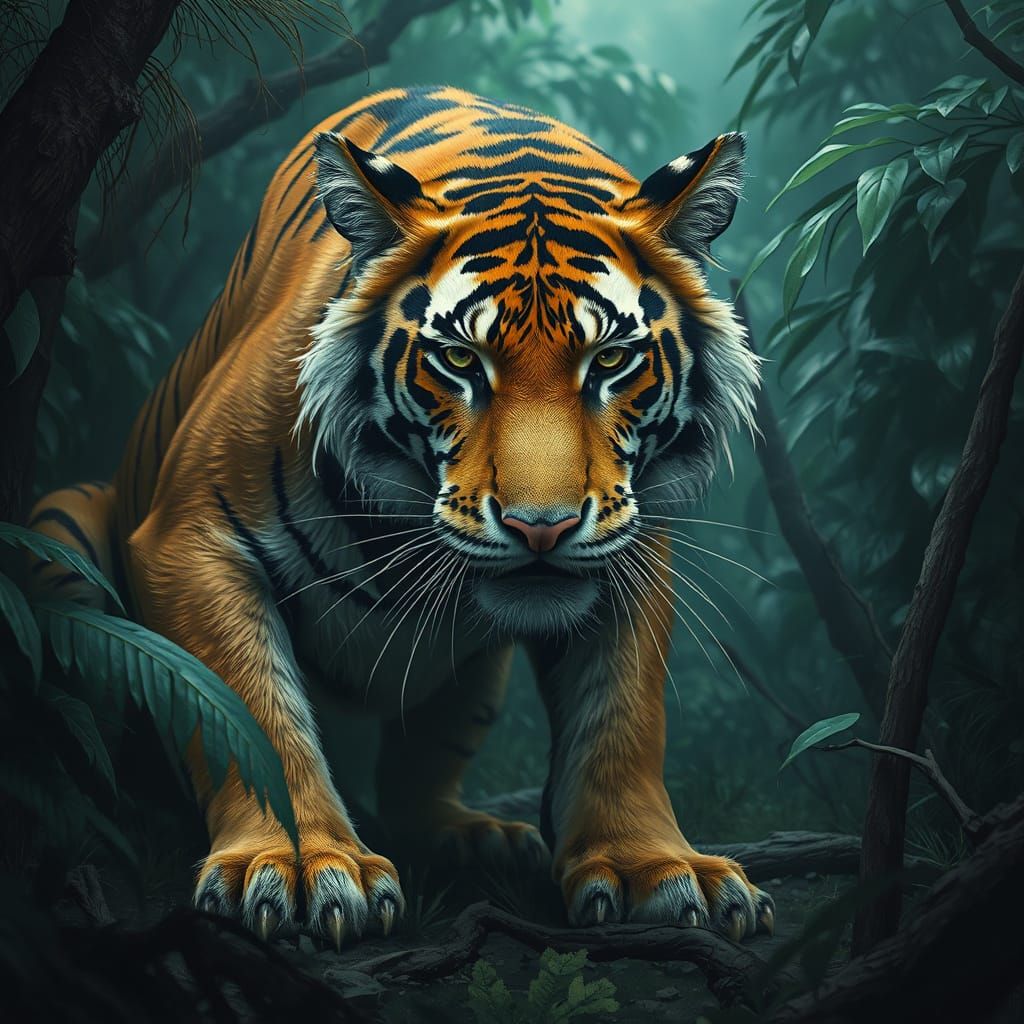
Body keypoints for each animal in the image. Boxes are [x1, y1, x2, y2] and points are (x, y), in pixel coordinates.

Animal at [29, 85, 773, 947]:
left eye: (611, 361)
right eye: (459, 361)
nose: (542, 527)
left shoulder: (631, 552)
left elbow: (622, 718)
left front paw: (656, 868)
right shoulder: (190, 538)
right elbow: (249, 716)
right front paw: (299, 867)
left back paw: (476, 837)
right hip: (60, 531)